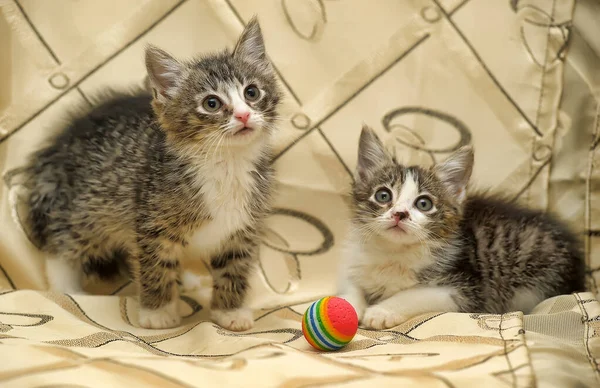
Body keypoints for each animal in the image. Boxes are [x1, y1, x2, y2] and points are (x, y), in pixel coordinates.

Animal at [15, 19, 282, 330]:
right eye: (211, 103)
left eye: (252, 93)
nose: (243, 115)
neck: (226, 163)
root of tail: (58, 144)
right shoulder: (151, 221)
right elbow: (155, 265)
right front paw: (158, 311)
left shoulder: (243, 227)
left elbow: (234, 268)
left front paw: (230, 311)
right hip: (85, 206)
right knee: (63, 243)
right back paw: (66, 288)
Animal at [338, 126, 584, 328]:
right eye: (383, 195)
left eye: (424, 204)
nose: (400, 213)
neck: (394, 253)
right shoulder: (356, 262)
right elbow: (349, 285)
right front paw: (349, 306)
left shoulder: (466, 289)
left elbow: (416, 294)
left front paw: (381, 311)